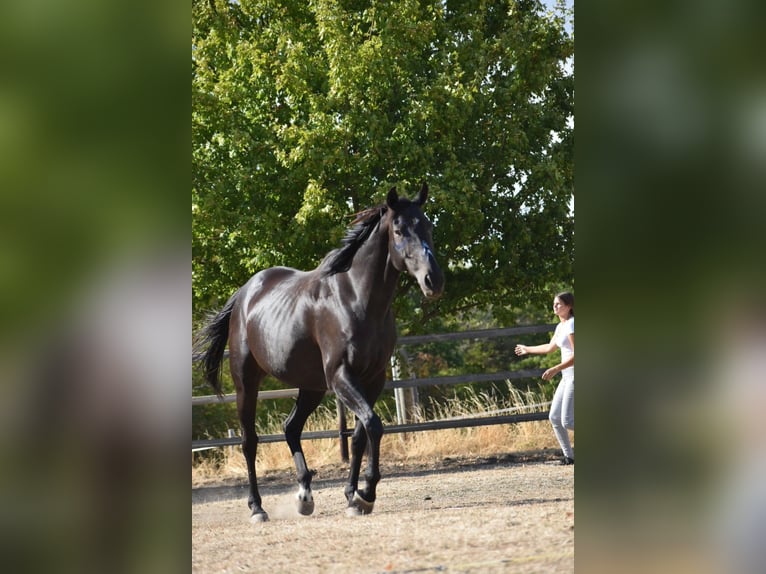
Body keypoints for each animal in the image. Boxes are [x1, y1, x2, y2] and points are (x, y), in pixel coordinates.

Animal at [194, 183, 444, 521]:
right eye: (399, 229)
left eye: (428, 225)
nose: (434, 280)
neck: (356, 299)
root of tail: (244, 293)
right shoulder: (341, 376)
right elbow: (373, 425)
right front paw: (367, 493)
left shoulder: (373, 379)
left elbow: (360, 435)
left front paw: (353, 496)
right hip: (247, 382)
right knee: (249, 441)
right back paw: (257, 508)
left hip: (310, 387)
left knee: (290, 428)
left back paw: (304, 496)